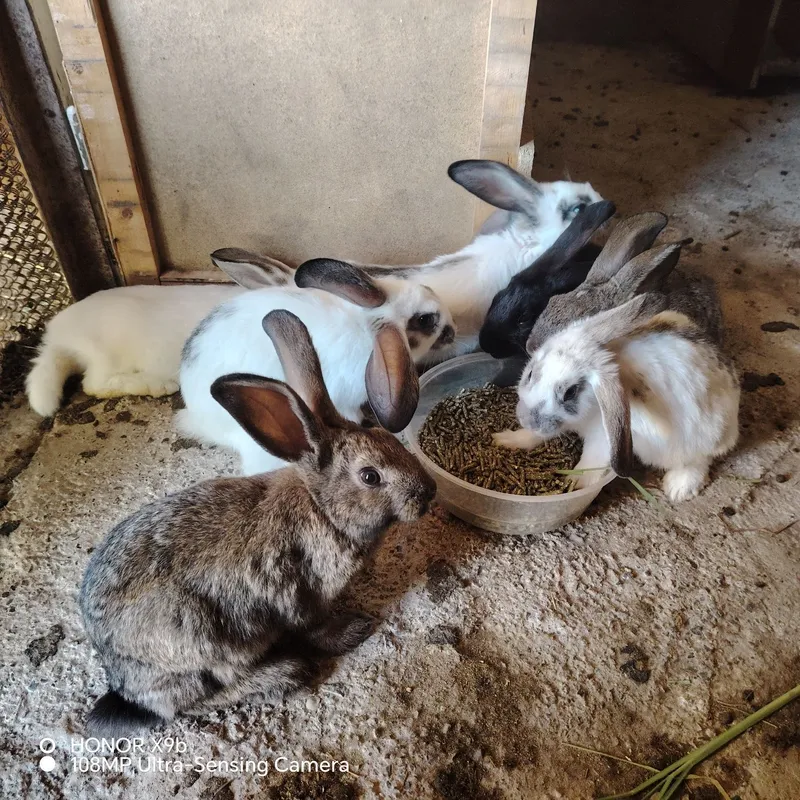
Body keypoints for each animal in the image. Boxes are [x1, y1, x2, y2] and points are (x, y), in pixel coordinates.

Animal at [80, 309, 436, 736]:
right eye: (370, 476)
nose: (429, 492)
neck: (322, 507)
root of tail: (122, 682)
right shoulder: (298, 594)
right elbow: (317, 628)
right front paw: (355, 629)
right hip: (205, 640)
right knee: (192, 701)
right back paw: (285, 672)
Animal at [493, 292, 740, 502]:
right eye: (530, 373)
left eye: (570, 392)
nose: (526, 418)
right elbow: (534, 437)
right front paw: (505, 440)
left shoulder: (603, 440)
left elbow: (589, 464)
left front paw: (572, 485)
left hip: (698, 439)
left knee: (700, 460)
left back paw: (679, 488)